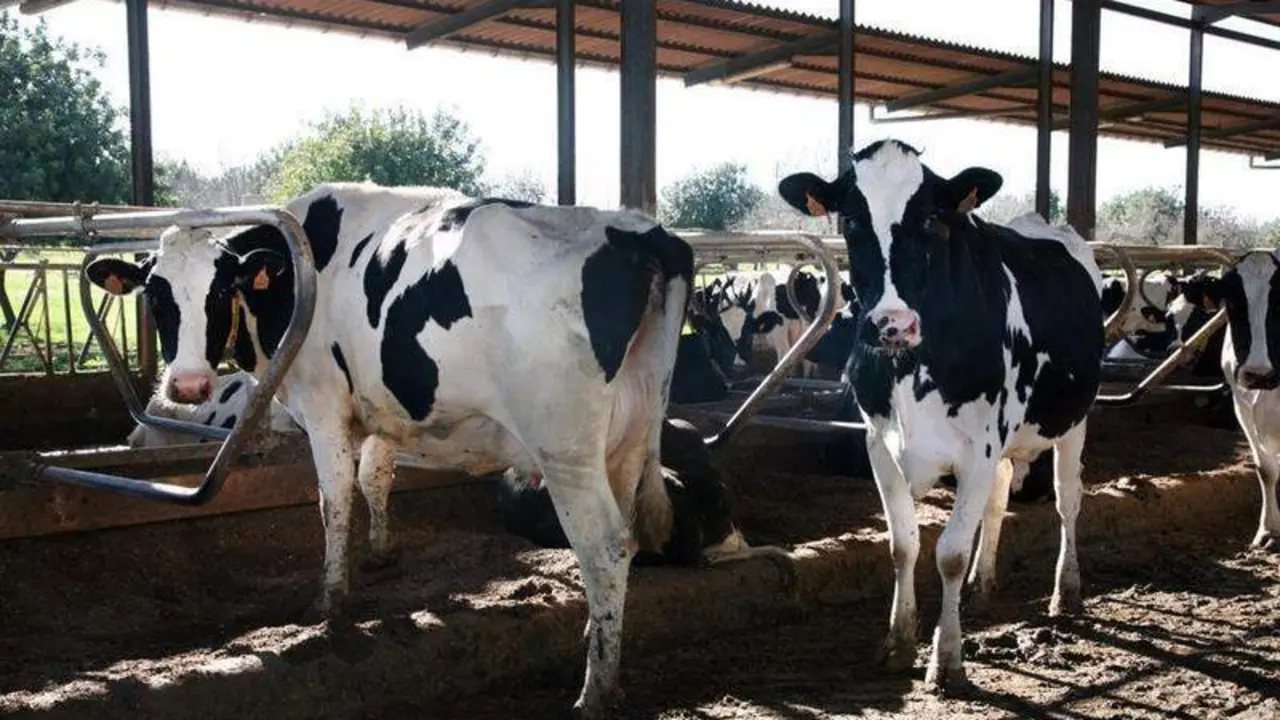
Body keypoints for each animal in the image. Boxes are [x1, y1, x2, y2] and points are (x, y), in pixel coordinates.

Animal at [777, 139, 1103, 694]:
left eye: (932, 218)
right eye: (851, 220)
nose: (892, 324)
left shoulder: (978, 449)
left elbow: (948, 553)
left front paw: (947, 659)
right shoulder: (880, 445)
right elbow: (903, 545)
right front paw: (898, 642)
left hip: (1073, 423)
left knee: (1068, 501)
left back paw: (1067, 590)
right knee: (998, 499)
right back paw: (983, 581)